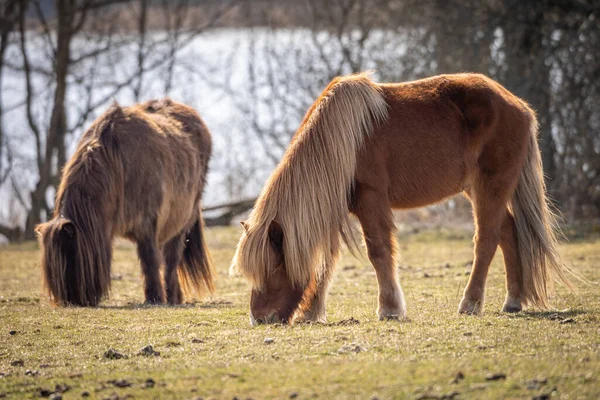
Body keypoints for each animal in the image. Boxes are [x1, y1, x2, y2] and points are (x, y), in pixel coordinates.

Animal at [37, 99, 216, 306]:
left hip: (183, 219)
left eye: (71, 256)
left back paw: (172, 298)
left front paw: (155, 298)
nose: (71, 301)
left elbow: (150, 260)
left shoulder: (148, 222)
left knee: (172, 258)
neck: (117, 163)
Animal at [232, 72, 576, 324]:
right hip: (480, 189)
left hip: (491, 187)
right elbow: (326, 262)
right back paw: (513, 301)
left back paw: (470, 303)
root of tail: (519, 106)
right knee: (508, 232)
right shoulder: (333, 209)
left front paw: (389, 309)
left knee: (487, 239)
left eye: (273, 268)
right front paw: (311, 312)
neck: (344, 139)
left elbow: (379, 252)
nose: (258, 318)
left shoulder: (371, 200)